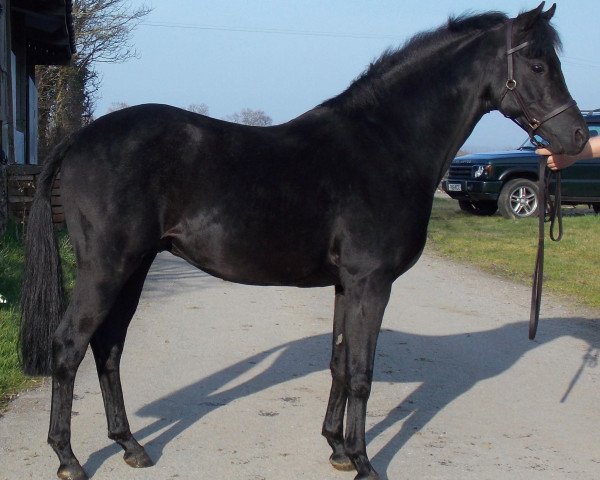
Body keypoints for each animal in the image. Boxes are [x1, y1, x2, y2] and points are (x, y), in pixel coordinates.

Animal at [19, 4, 592, 480]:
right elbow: (361, 371)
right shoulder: (371, 283)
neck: (385, 144)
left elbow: (338, 363)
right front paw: (364, 463)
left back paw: (130, 446)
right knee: (69, 345)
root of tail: (80, 137)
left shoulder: (346, 285)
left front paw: (336, 449)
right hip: (106, 267)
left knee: (108, 347)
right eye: (538, 64)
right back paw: (69, 459)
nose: (577, 139)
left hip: (133, 267)